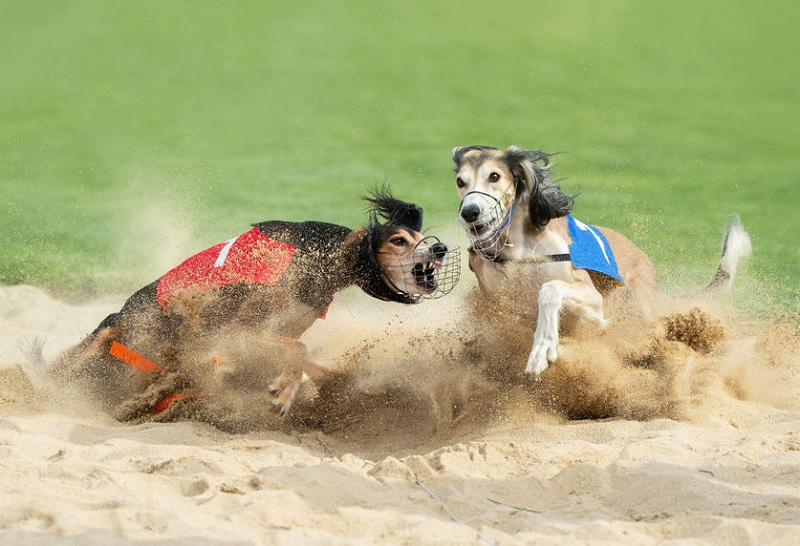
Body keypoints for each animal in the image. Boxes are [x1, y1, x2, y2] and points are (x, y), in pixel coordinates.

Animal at [50, 187, 460, 420]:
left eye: (420, 237)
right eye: (399, 241)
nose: (440, 248)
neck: (317, 259)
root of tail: (120, 315)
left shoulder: (271, 332)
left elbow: (306, 358)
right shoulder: (237, 329)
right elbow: (298, 350)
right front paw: (284, 394)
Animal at [454, 144, 752, 378]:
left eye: (494, 176)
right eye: (460, 181)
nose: (470, 213)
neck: (518, 252)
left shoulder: (591, 296)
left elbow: (550, 289)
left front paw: (542, 349)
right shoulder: (499, 304)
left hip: (639, 304)